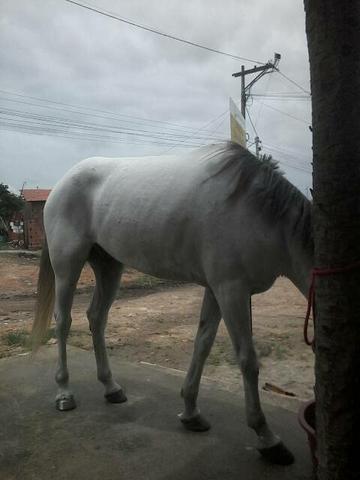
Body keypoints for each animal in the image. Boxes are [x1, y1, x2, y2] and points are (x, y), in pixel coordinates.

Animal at [32, 142, 312, 464]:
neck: (257, 212)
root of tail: (61, 184)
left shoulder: (216, 290)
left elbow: (203, 344)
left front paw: (191, 413)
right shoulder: (232, 290)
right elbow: (247, 360)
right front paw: (268, 438)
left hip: (109, 266)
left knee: (97, 318)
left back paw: (111, 388)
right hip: (67, 266)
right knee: (63, 322)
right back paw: (64, 393)